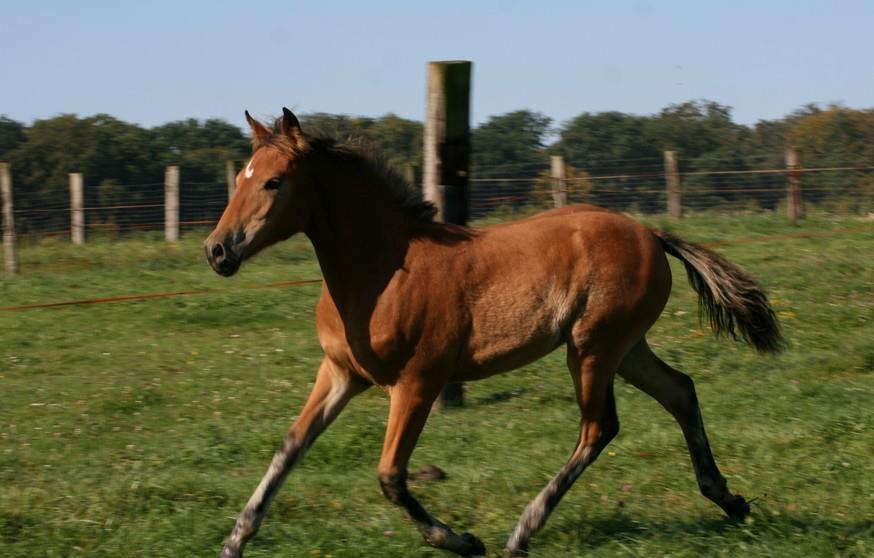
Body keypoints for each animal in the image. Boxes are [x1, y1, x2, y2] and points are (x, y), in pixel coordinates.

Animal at [204, 109, 784, 558]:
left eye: (274, 182)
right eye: (240, 179)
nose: (216, 251)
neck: (380, 269)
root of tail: (651, 233)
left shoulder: (418, 382)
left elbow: (391, 475)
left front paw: (462, 540)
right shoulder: (341, 373)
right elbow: (290, 447)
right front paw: (234, 541)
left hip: (592, 347)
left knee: (598, 429)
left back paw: (520, 532)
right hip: (626, 347)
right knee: (680, 391)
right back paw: (728, 499)